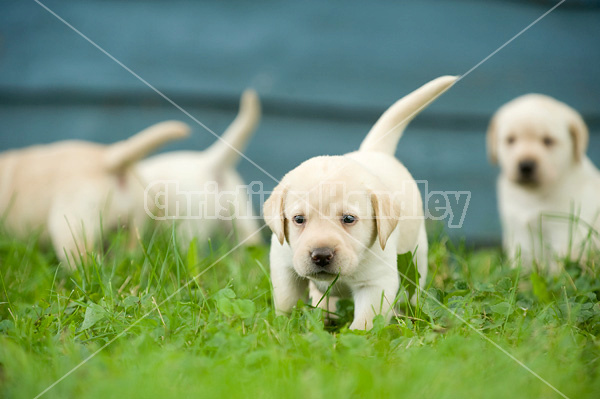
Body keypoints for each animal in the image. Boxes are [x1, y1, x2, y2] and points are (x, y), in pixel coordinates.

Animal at [264, 76, 458, 332]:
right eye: (298, 219)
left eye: (349, 219)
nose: (321, 255)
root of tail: (375, 150)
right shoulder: (285, 267)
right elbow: (287, 302)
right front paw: (284, 326)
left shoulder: (377, 283)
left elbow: (366, 322)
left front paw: (355, 337)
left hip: (417, 256)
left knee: (413, 289)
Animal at [488, 95, 600, 274]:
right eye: (511, 140)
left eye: (548, 141)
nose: (526, 165)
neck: (533, 194)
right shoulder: (518, 232)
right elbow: (522, 263)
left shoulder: (566, 231)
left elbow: (560, 265)